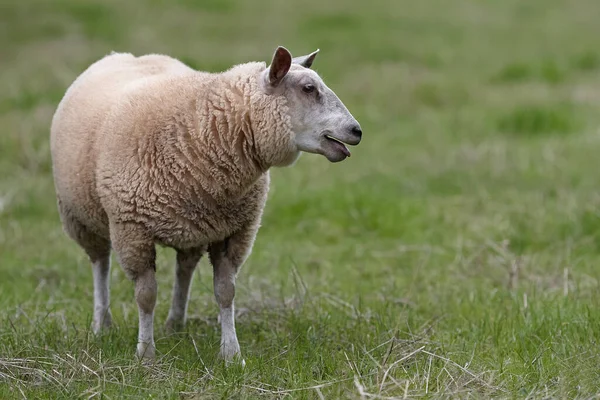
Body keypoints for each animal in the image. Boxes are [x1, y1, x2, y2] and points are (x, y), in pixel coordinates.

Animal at [49, 46, 360, 362]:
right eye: (308, 88)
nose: (356, 131)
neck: (202, 133)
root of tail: (126, 55)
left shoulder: (233, 232)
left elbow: (226, 292)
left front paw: (231, 353)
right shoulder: (132, 228)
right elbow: (146, 296)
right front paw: (146, 353)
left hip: (194, 227)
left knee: (184, 269)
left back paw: (175, 324)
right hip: (82, 217)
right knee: (100, 264)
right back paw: (102, 324)